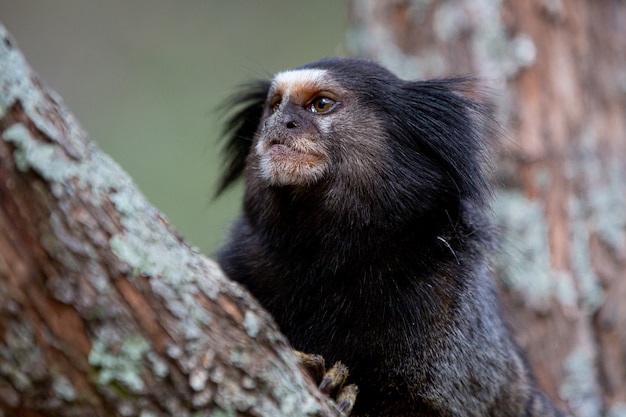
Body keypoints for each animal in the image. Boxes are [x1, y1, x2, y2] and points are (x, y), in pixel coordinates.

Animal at [214, 56, 564, 416]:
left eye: (321, 104)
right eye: (274, 106)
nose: (281, 123)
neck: (327, 256)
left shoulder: (446, 298)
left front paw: (335, 386)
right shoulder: (242, 261)